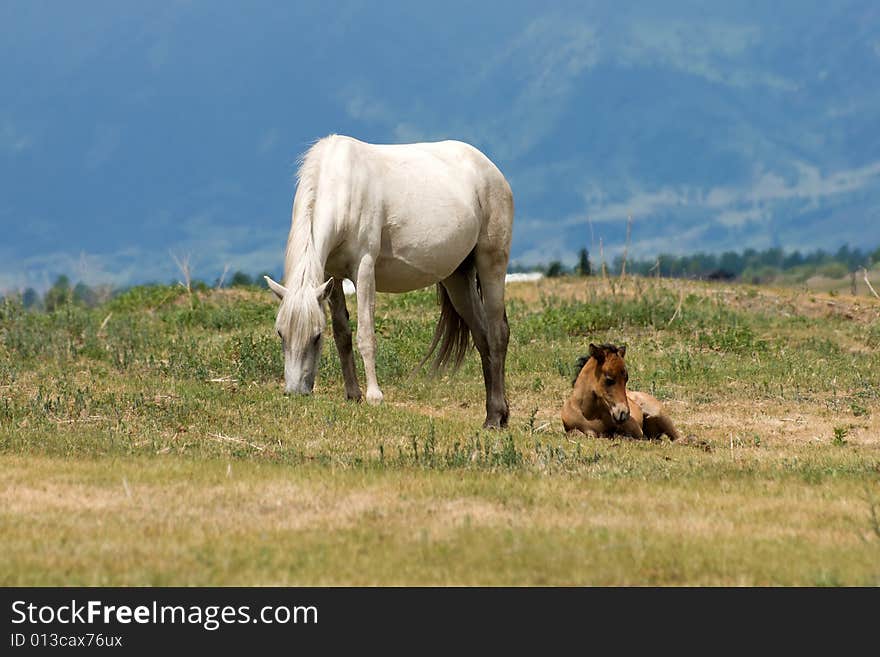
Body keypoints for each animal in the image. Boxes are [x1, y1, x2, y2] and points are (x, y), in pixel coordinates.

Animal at [268, 136, 516, 428]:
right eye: (281, 333)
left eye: (316, 336)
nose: (296, 392)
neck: (342, 185)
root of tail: (491, 169)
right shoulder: (333, 277)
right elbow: (343, 334)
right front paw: (353, 395)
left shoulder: (364, 269)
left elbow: (365, 334)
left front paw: (374, 397)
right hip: (458, 278)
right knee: (482, 335)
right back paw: (495, 414)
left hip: (492, 262)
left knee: (497, 333)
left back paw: (495, 417)